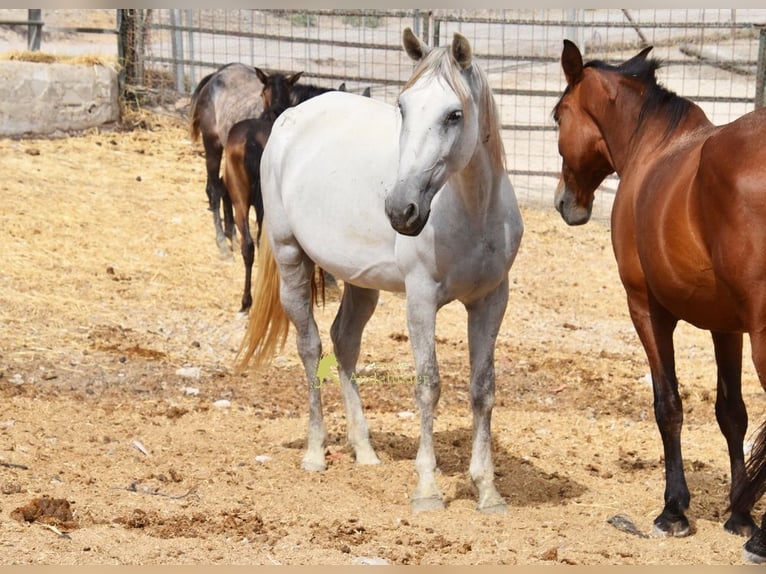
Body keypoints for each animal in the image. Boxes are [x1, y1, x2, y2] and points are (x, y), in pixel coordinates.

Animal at [551, 39, 766, 557]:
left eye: (557, 116)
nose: (566, 203)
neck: (654, 149)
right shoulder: (725, 325)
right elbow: (732, 413)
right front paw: (739, 513)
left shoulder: (647, 309)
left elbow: (667, 405)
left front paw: (674, 510)